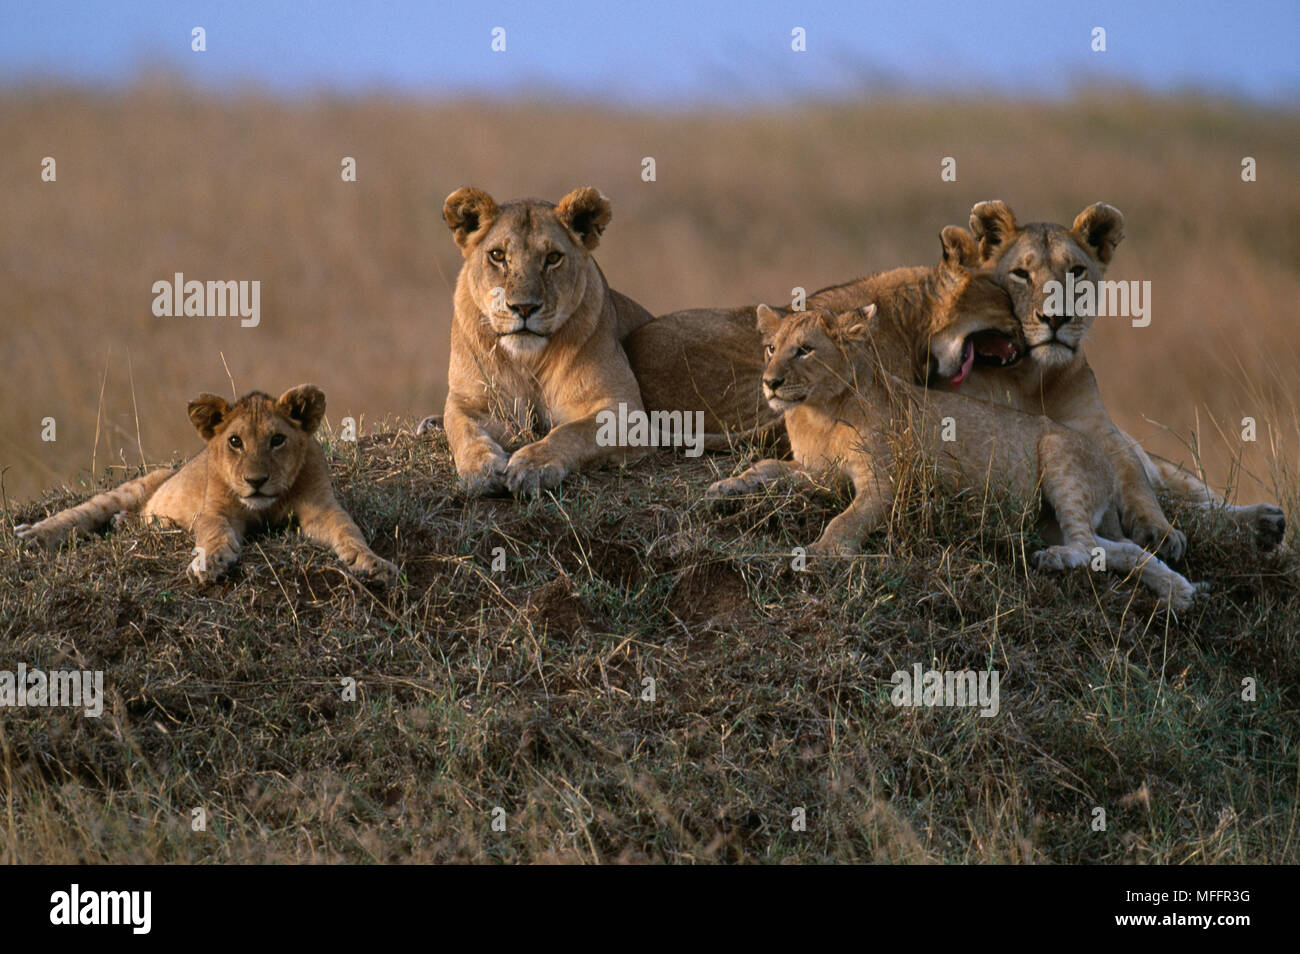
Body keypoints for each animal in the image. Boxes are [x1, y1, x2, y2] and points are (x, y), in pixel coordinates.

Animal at [14, 385, 398, 585]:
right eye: (235, 442)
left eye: (277, 440)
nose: (256, 481)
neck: (266, 505)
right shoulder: (213, 510)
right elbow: (214, 533)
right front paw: (210, 562)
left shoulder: (322, 508)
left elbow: (348, 531)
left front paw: (373, 562)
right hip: (133, 487)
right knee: (78, 514)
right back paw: (33, 536)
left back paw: (126, 524)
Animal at [417, 186, 655, 494]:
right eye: (497, 255)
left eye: (553, 258)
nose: (524, 307)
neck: (528, 360)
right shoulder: (469, 401)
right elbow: (463, 429)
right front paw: (481, 468)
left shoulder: (623, 410)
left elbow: (571, 432)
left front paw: (533, 466)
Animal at [706, 295, 1200, 611]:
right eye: (771, 348)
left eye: (804, 351)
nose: (769, 382)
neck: (816, 413)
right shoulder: (817, 473)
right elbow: (767, 466)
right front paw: (725, 486)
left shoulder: (887, 482)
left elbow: (848, 518)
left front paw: (825, 551)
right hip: (1047, 521)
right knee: (1119, 550)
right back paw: (1177, 591)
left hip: (1060, 457)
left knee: (1087, 546)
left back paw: (1059, 561)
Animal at [958, 200, 1285, 554]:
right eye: (1021, 273)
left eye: (1076, 271)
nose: (1056, 317)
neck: (1033, 379)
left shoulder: (1102, 431)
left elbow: (1135, 481)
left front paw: (1159, 531)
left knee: (1196, 500)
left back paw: (1267, 521)